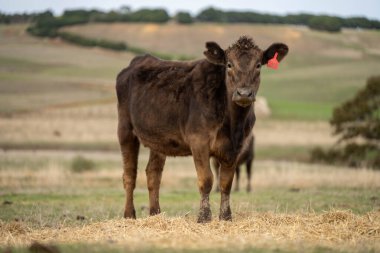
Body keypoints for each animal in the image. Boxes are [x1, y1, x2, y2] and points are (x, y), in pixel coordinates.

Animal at [116, 35, 288, 221]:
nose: (244, 93)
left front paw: (226, 217)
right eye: (229, 64)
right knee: (129, 174)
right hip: (125, 130)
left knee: (153, 174)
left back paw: (156, 214)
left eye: (258, 65)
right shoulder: (198, 141)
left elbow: (226, 183)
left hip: (159, 139)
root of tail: (139, 60)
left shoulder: (235, 147)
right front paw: (204, 217)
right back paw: (129, 215)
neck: (233, 123)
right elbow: (206, 180)